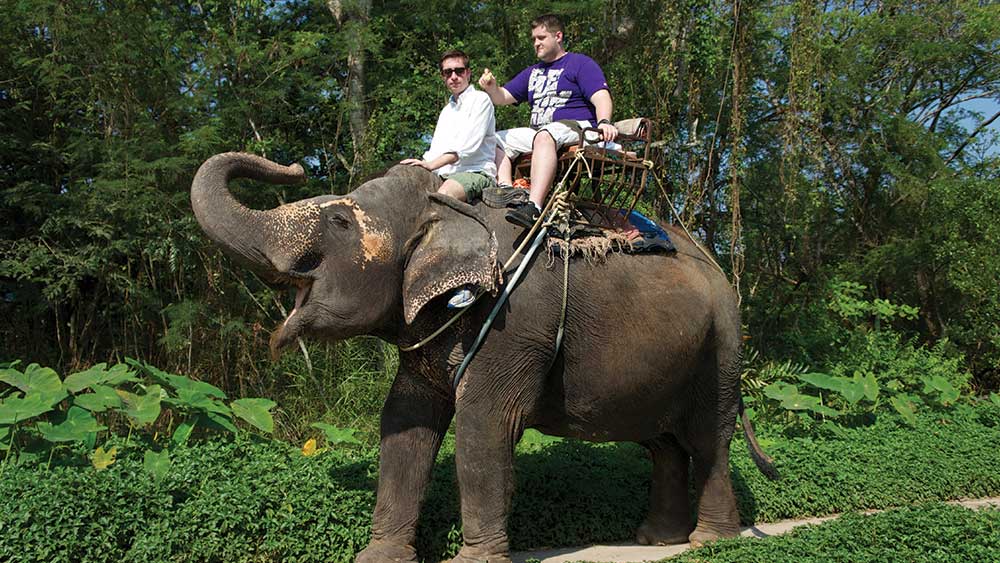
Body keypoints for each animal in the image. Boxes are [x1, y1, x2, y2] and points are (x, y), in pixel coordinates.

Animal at [191, 152, 777, 563]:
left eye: (338, 220)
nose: (291, 166)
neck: (446, 208)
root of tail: (719, 268)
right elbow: (404, 421)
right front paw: (377, 557)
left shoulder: (512, 321)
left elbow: (484, 423)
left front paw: (470, 560)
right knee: (662, 443)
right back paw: (657, 540)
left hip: (721, 345)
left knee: (707, 437)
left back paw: (709, 543)